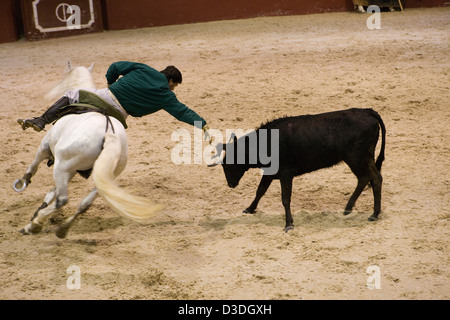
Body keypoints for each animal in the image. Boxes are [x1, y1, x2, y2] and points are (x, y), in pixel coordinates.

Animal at [13, 62, 165, 238]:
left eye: (63, 77)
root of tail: (109, 133)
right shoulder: (72, 170)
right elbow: (51, 192)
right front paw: (36, 215)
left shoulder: (45, 147)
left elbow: (34, 166)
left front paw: (23, 182)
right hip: (104, 175)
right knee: (84, 204)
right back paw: (59, 228)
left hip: (61, 167)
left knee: (62, 199)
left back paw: (37, 224)